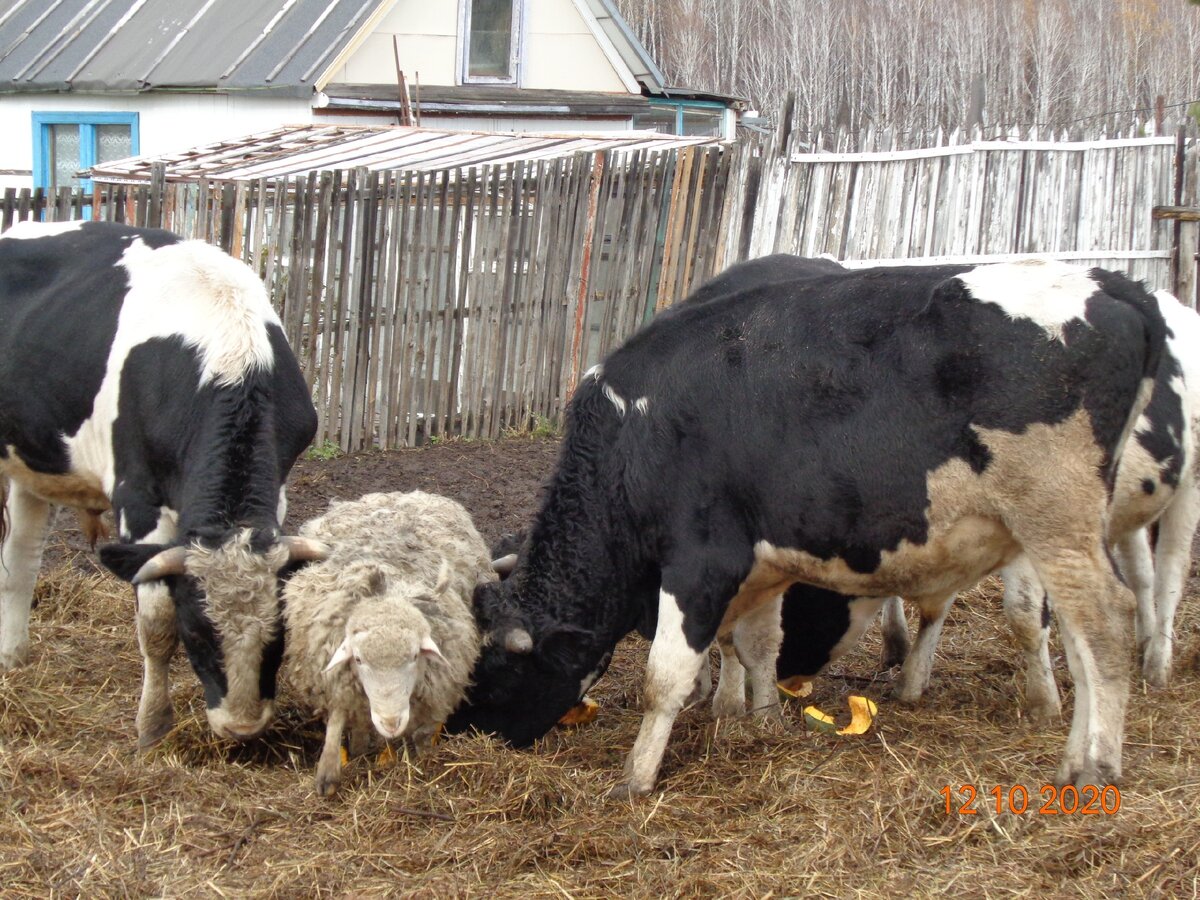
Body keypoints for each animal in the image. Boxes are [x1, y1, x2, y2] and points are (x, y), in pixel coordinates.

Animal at [0, 222, 321, 748]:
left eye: (279, 635)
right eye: (196, 633)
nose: (242, 726)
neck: (229, 354)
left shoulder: (275, 492)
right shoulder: (138, 499)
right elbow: (154, 623)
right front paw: (152, 724)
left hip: (34, 458)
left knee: (20, 560)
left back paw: (13, 658)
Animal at [280, 494, 492, 796]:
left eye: (415, 656)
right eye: (358, 659)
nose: (391, 723)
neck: (387, 589)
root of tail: (408, 494)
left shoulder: (437, 688)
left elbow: (423, 734)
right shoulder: (336, 677)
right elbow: (338, 716)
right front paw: (329, 772)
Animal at [448, 259, 1161, 796]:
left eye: (492, 672)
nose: (462, 734)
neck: (635, 436)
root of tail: (1110, 283)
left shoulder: (701, 561)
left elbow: (664, 678)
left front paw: (636, 777)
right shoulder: (763, 567)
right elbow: (758, 646)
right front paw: (763, 722)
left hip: (1055, 520)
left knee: (1105, 620)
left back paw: (1096, 768)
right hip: (1064, 532)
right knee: (1078, 636)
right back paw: (1073, 756)